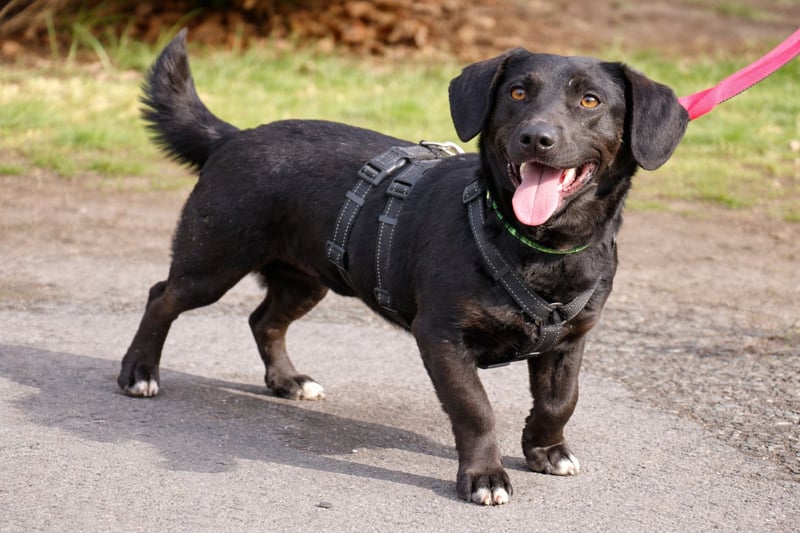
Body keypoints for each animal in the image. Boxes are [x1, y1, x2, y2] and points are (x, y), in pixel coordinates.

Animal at [118, 29, 688, 505]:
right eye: (517, 94)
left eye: (590, 100)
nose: (536, 137)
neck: (534, 246)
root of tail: (233, 136)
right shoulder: (441, 336)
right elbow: (475, 410)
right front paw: (484, 476)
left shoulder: (570, 340)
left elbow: (559, 401)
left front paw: (546, 451)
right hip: (213, 262)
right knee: (161, 296)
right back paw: (139, 373)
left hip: (307, 279)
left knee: (265, 320)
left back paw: (287, 381)